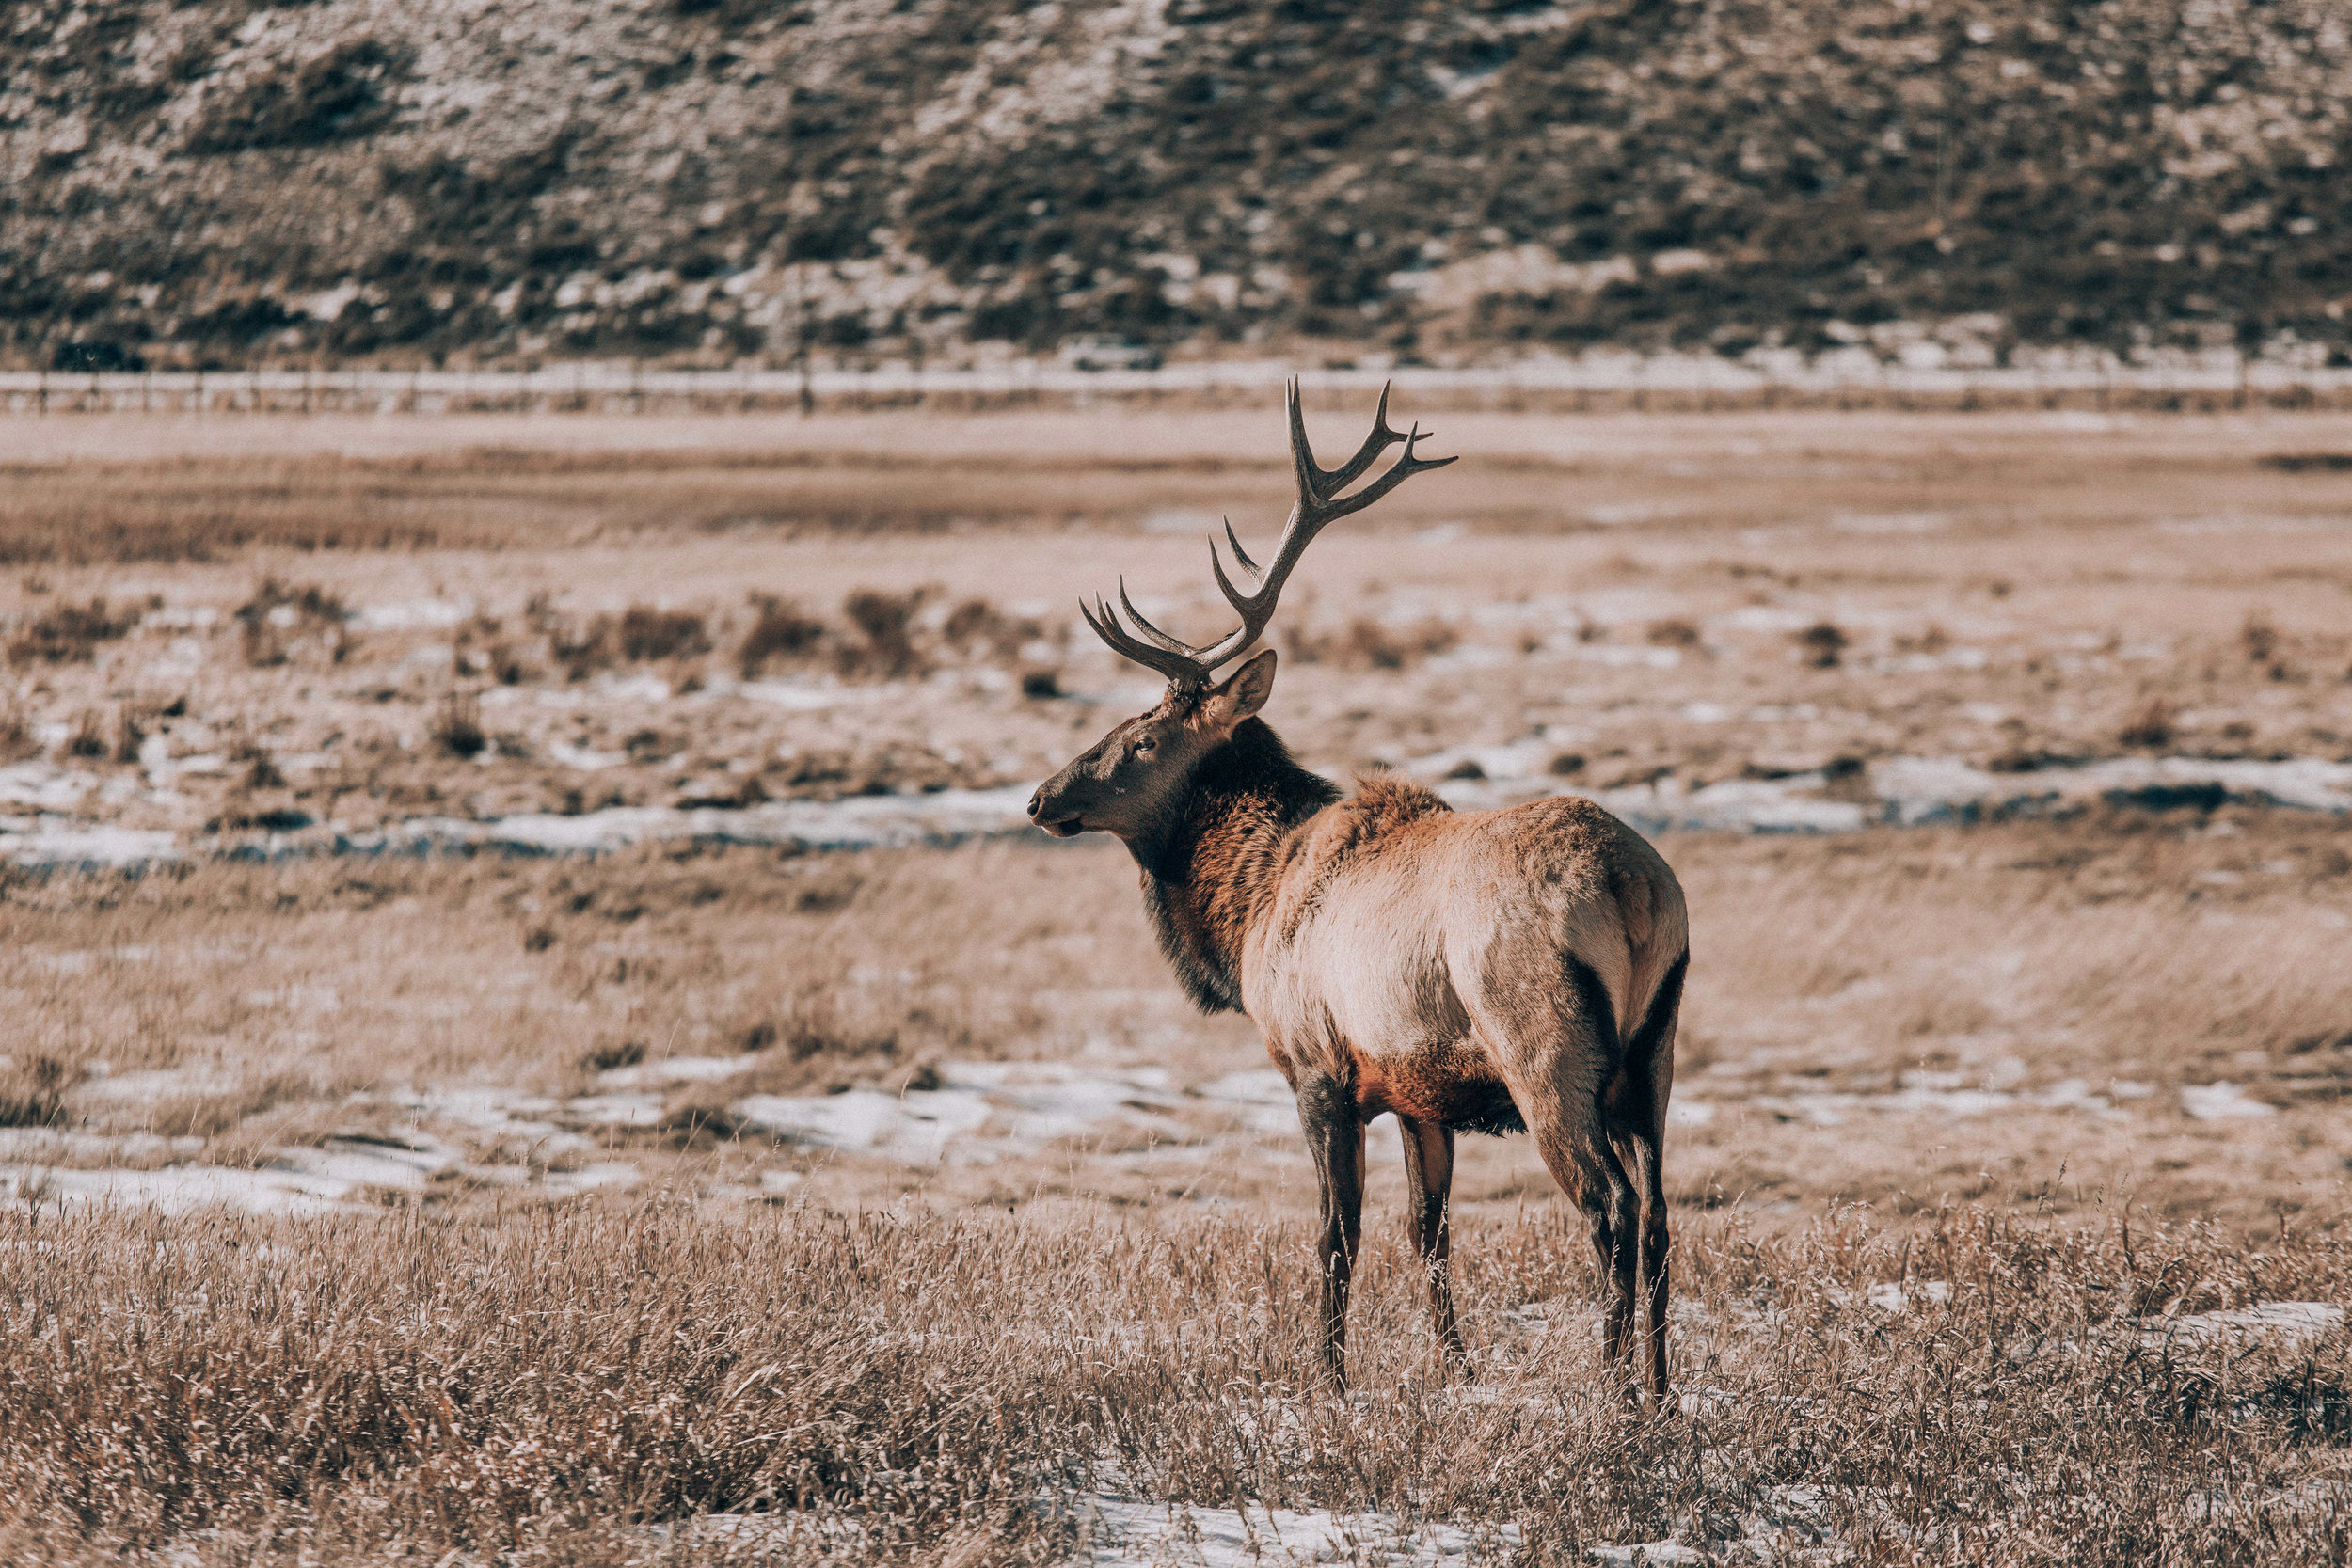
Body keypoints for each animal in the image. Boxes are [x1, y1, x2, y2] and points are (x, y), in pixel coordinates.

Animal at [1030, 383, 1693, 1410]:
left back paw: (1616, 1390)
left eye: (1139, 738)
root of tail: (1632, 890)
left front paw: (1327, 1376)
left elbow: (1335, 1235)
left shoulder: (1318, 1067)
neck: (1248, 905)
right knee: (1661, 1212)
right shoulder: (1421, 1089)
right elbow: (1429, 1231)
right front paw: (1456, 1367)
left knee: (1609, 1207)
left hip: (1545, 1047)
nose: (1041, 797)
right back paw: (1662, 1392)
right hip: (1654, 1053)